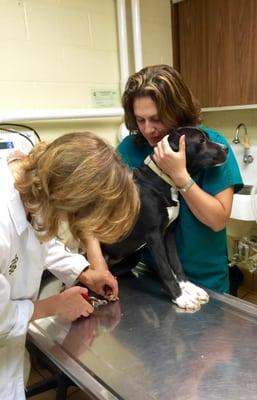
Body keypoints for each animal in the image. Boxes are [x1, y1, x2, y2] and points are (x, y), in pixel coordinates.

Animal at [102, 127, 226, 310]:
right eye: (201, 141)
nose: (226, 148)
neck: (162, 179)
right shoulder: (154, 236)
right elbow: (166, 269)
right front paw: (180, 297)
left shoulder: (169, 234)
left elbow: (176, 263)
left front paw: (189, 287)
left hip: (134, 256)